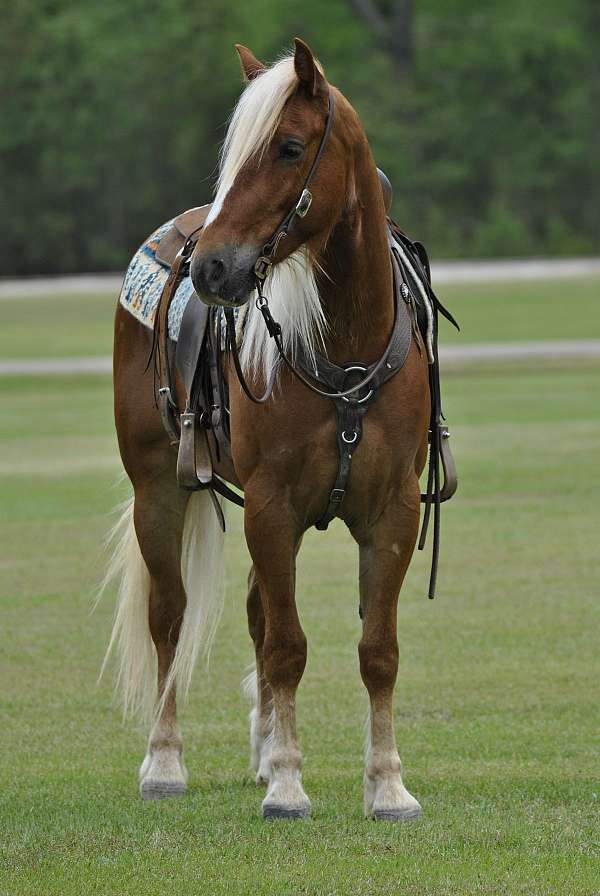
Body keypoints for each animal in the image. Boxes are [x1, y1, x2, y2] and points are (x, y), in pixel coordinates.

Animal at [107, 38, 435, 822]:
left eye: (288, 147)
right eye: (233, 156)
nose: (212, 266)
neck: (344, 346)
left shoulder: (392, 513)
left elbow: (378, 650)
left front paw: (388, 784)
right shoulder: (272, 505)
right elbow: (287, 645)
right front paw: (289, 782)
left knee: (258, 608)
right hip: (157, 489)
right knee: (170, 616)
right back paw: (165, 762)